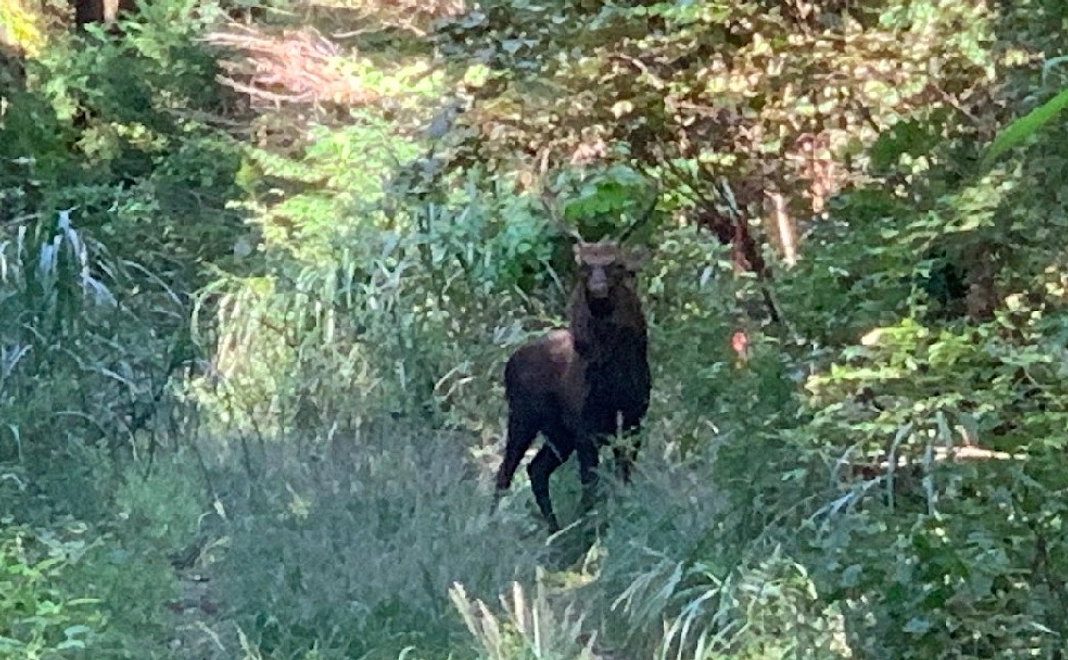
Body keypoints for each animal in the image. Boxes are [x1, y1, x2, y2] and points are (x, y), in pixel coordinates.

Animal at [489, 190, 649, 529]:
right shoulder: (584, 423)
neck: (614, 374)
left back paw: (555, 527)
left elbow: (624, 472)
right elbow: (591, 480)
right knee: (506, 471)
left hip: (558, 433)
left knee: (536, 468)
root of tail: (509, 363)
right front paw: (592, 525)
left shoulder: (635, 413)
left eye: (616, 266)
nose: (598, 289)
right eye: (583, 267)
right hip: (523, 416)